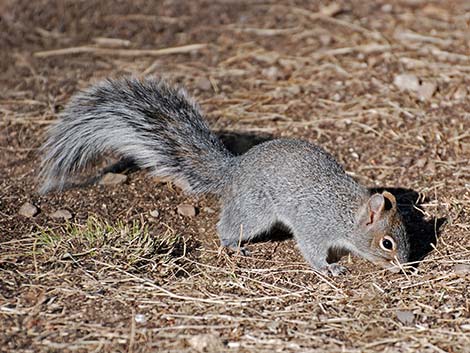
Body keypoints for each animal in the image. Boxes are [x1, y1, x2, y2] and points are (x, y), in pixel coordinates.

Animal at [38, 77, 410, 276]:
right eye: (387, 243)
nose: (404, 267)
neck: (347, 213)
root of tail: (235, 169)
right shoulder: (315, 225)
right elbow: (313, 250)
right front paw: (329, 268)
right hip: (256, 211)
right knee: (227, 226)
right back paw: (233, 246)